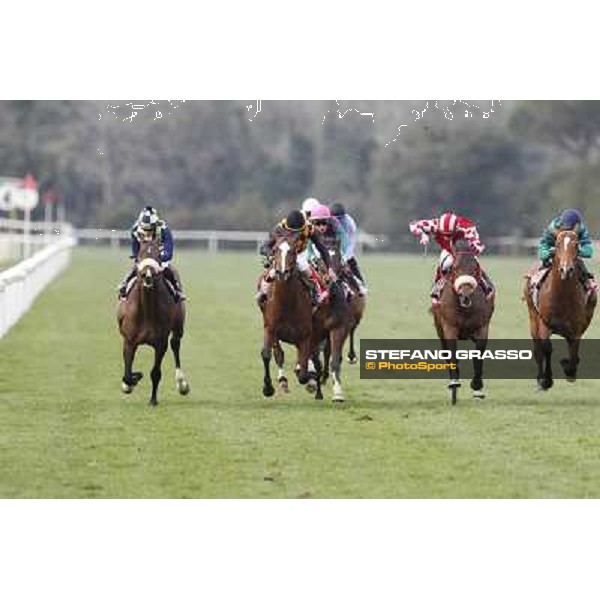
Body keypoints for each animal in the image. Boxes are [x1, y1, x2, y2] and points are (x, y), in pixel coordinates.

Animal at [117, 239, 190, 408]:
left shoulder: (160, 343)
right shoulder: (129, 341)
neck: (147, 311)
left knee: (175, 344)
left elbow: (155, 372)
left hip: (178, 327)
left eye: (158, 255)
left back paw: (182, 383)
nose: (148, 275)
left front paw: (153, 400)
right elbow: (127, 374)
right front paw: (134, 379)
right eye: (140, 254)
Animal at [260, 236, 316, 398]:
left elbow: (303, 372)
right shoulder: (270, 328)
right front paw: (268, 387)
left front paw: (310, 378)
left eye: (293, 251)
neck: (287, 303)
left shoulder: (305, 334)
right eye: (274, 250)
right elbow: (268, 354)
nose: (282, 273)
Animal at [434, 246, 494, 406]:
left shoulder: (482, 328)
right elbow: (452, 355)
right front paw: (454, 384)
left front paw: (477, 387)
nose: (465, 294)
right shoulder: (449, 327)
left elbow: (478, 357)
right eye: (454, 268)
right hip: (440, 330)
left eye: (475, 268)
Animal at [524, 229, 596, 390]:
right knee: (538, 350)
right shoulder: (545, 323)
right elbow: (547, 348)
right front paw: (546, 380)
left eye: (576, 245)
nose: (566, 270)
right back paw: (540, 379)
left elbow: (574, 352)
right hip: (533, 317)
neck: (562, 295)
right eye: (557, 244)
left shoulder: (576, 328)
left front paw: (569, 369)